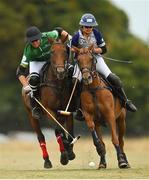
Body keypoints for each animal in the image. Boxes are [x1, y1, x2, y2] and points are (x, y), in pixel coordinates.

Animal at [21, 39, 75, 169]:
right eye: (52, 52)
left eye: (65, 51)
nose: (60, 72)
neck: (58, 85)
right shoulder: (49, 110)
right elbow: (59, 131)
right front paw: (65, 153)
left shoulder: (68, 111)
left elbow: (69, 130)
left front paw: (70, 152)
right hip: (31, 116)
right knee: (41, 136)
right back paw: (47, 161)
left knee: (57, 132)